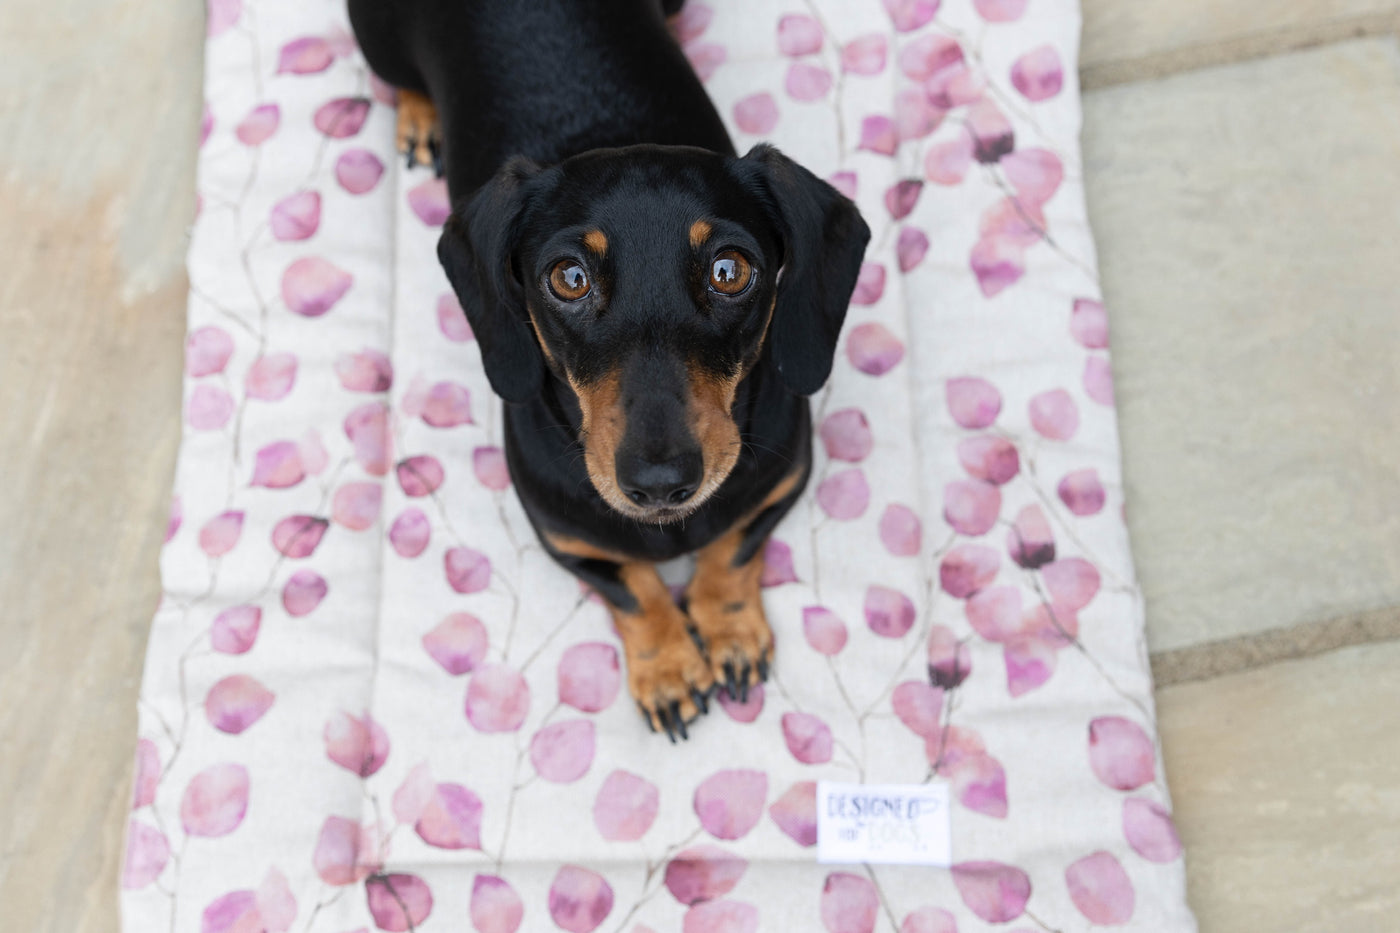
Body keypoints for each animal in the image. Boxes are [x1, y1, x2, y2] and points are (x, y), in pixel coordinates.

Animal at [350, 0, 868, 739]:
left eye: (730, 269)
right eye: (569, 277)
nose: (659, 483)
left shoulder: (781, 482)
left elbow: (732, 548)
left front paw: (729, 632)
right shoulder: (567, 539)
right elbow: (633, 587)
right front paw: (670, 668)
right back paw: (420, 121)